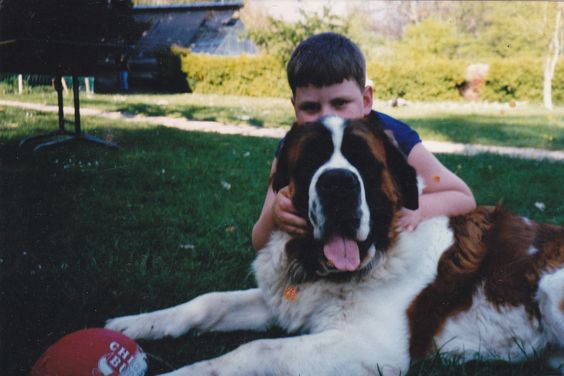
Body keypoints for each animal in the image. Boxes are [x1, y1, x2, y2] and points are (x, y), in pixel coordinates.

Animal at [107, 116, 564, 374]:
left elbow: (255, 350)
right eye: (310, 160)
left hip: (550, 288)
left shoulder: (368, 345)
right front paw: (136, 324)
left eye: (365, 162)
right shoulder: (282, 299)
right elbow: (209, 302)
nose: (338, 184)